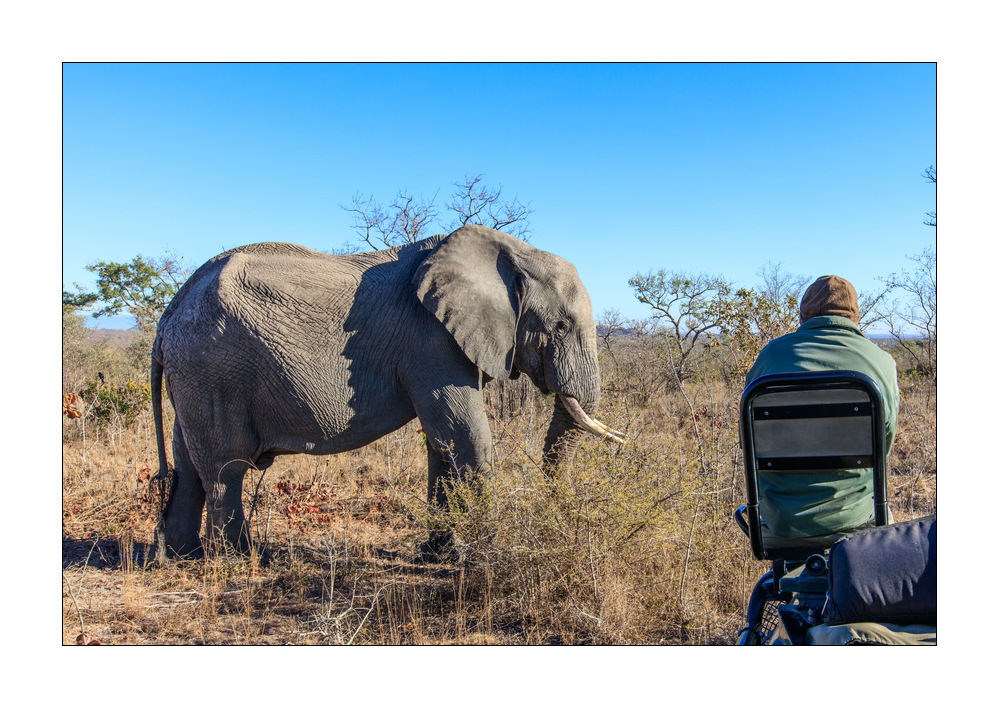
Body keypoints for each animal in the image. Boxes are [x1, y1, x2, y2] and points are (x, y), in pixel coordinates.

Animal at [151, 224, 624, 562]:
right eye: (560, 326)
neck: (509, 252)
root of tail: (168, 315)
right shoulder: (430, 341)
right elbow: (467, 438)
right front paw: (487, 556)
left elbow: (442, 444)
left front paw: (438, 556)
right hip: (213, 369)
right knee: (225, 469)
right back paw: (241, 561)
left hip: (192, 376)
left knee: (188, 467)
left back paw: (181, 558)